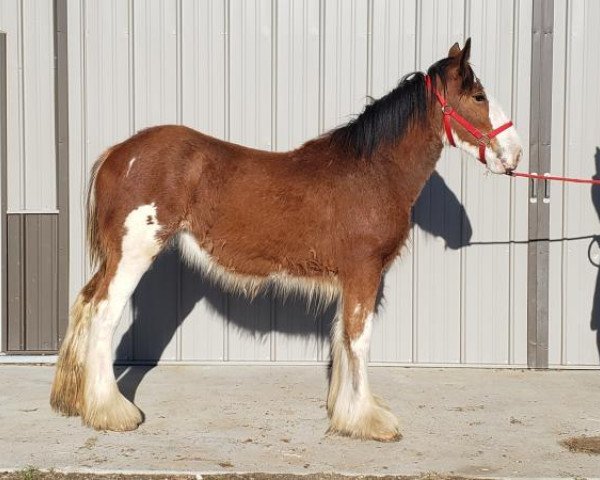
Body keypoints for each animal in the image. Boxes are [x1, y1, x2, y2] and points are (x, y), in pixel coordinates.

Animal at [50, 39, 520, 440]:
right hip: (134, 253)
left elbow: (341, 339)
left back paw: (74, 401)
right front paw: (369, 420)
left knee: (85, 304)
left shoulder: (349, 278)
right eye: (479, 96)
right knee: (104, 315)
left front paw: (344, 413)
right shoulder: (364, 272)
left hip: (115, 257)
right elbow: (359, 340)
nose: (515, 155)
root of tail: (117, 153)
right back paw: (112, 412)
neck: (371, 172)